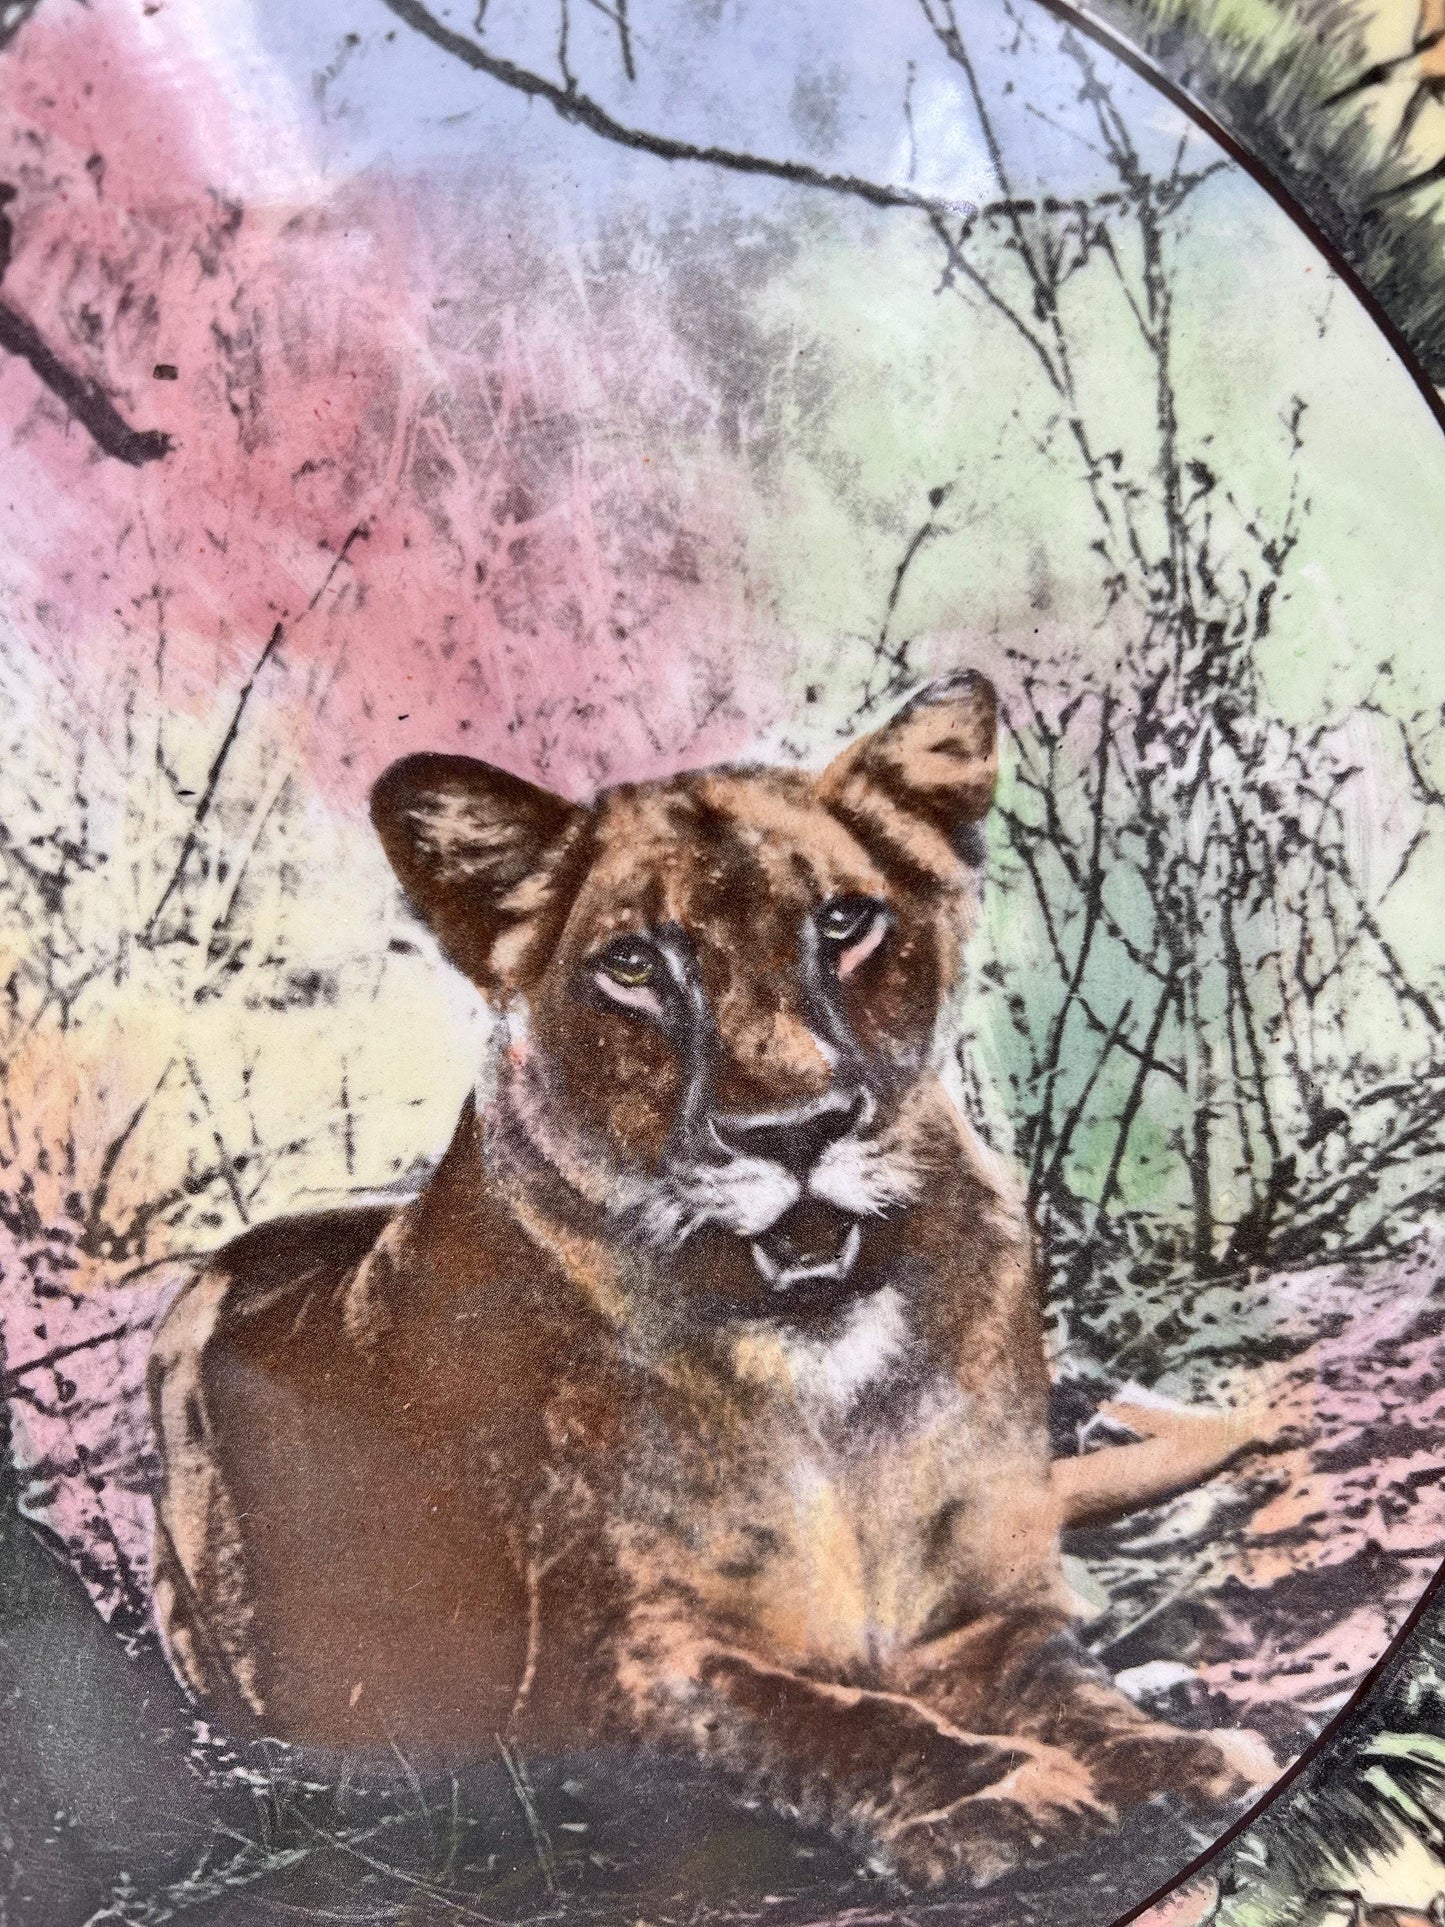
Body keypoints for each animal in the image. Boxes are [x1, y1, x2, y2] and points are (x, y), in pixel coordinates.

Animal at [148, 672, 1271, 1889]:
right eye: (634, 965)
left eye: (842, 921)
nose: (795, 1131)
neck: (819, 1344)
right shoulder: (613, 1669)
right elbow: (832, 1720)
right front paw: (998, 1791)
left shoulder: (983, 1606)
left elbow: (1064, 1685)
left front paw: (1170, 1755)